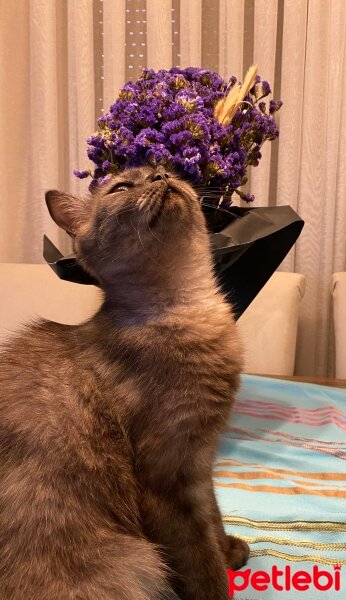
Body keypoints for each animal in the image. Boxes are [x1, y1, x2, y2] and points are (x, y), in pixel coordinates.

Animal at [0, 165, 249, 600]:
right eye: (121, 187)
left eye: (163, 167)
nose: (162, 174)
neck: (188, 305)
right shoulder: (169, 477)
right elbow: (201, 563)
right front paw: (220, 572)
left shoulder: (200, 462)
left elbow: (214, 518)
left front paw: (230, 551)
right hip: (137, 562)